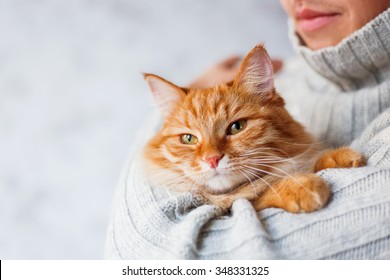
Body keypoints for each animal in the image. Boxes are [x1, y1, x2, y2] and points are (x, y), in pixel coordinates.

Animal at [143, 45, 366, 212]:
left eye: (236, 127)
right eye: (188, 139)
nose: (212, 160)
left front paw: (338, 157)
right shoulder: (240, 203)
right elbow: (264, 192)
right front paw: (301, 187)